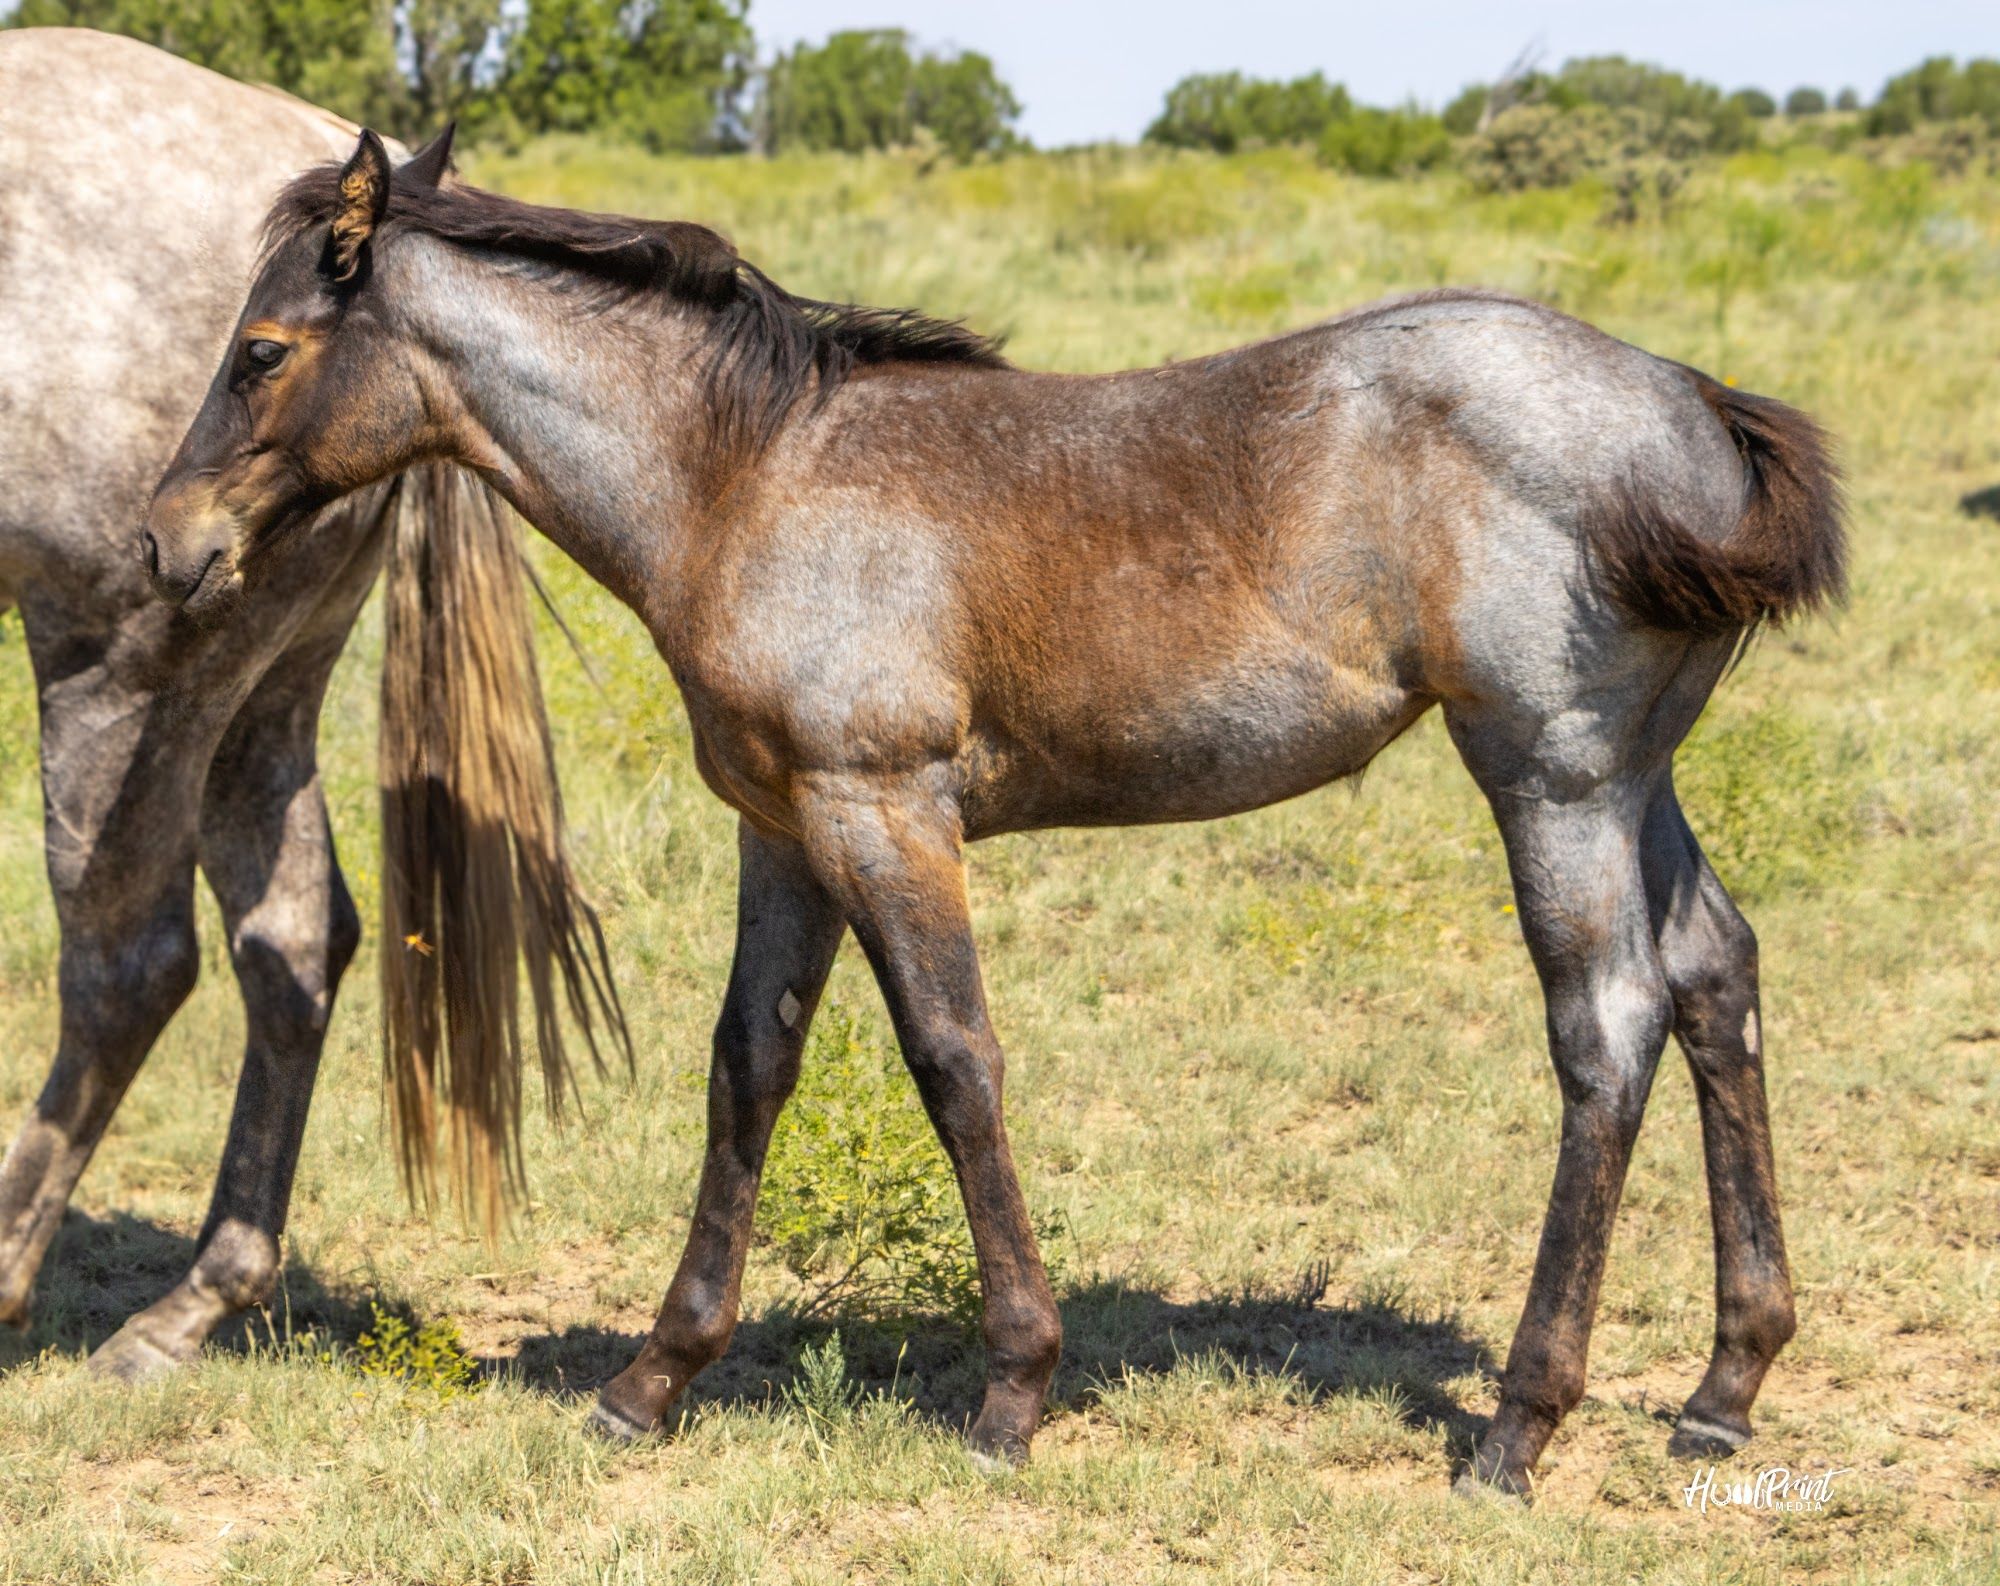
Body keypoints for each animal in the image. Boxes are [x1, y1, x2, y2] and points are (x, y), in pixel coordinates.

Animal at [0, 33, 616, 1379]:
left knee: (133, 966)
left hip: (122, 670)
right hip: (256, 691)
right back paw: (196, 1300)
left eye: (262, 353)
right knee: (289, 940)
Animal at [143, 125, 1846, 1497]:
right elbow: (747, 1068)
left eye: (263, 350)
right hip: (1636, 776)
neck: (746, 475)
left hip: (1550, 772)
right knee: (1717, 975)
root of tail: (1695, 402)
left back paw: (1518, 1425)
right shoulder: (785, 826)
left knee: (1607, 1024)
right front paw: (650, 1378)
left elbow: (955, 1062)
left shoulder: (884, 813)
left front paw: (1014, 1391)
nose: (166, 544)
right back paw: (1723, 1384)